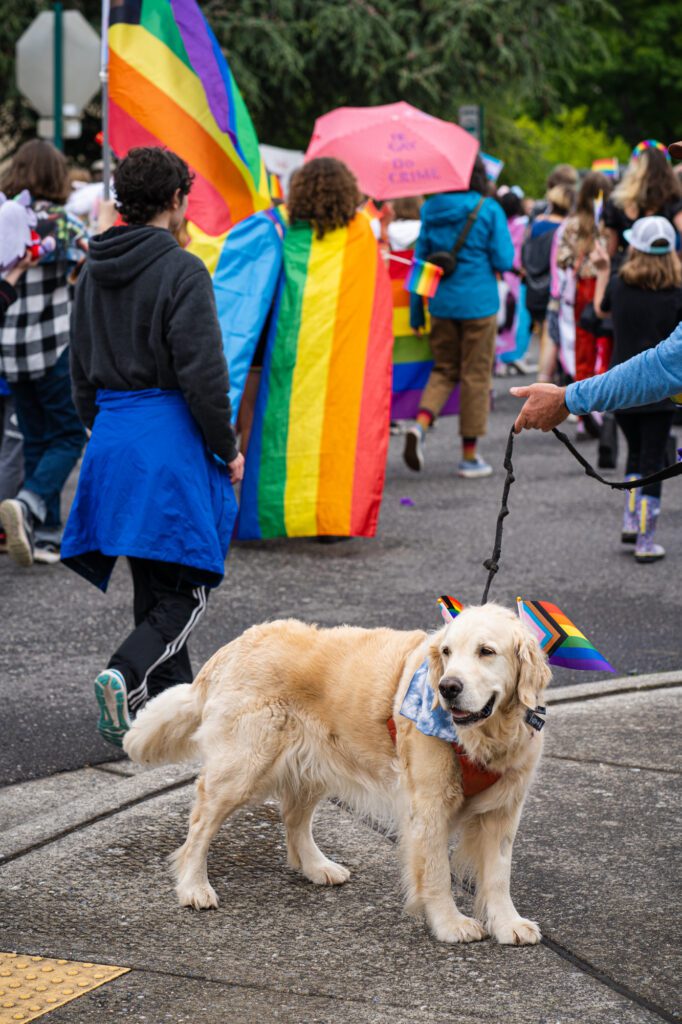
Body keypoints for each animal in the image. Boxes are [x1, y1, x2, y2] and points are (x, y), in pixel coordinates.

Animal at [123, 602, 548, 946]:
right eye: (447, 652)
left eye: (486, 651)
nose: (447, 687)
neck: (486, 736)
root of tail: (233, 645)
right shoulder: (428, 805)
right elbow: (436, 871)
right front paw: (449, 925)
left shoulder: (505, 809)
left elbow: (498, 874)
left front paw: (508, 924)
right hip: (244, 765)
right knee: (201, 821)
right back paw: (194, 886)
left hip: (315, 762)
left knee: (294, 818)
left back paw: (317, 867)